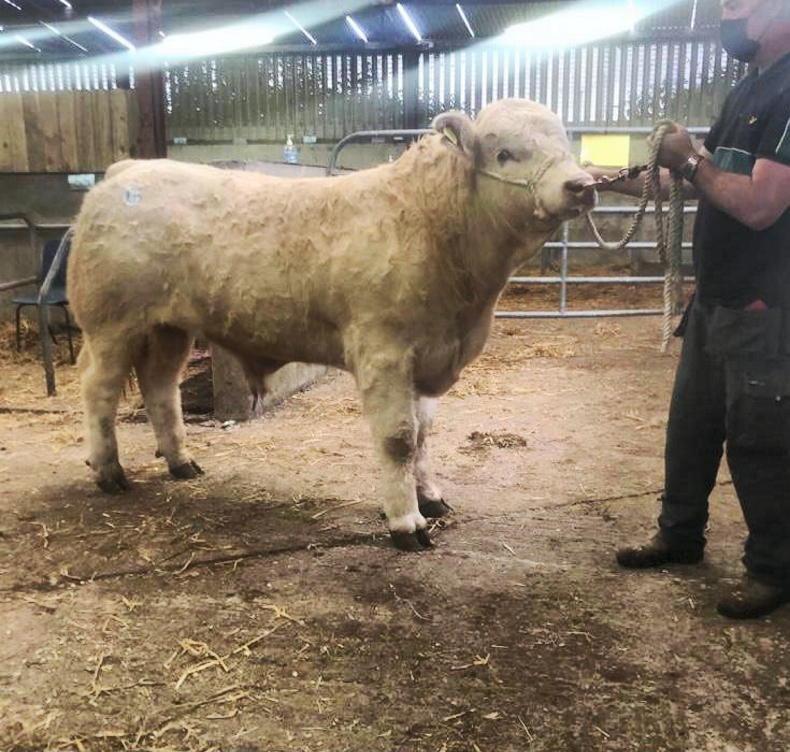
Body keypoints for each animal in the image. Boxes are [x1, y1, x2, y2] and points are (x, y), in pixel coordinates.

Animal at [67, 98, 596, 551]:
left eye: (564, 146)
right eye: (506, 154)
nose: (581, 185)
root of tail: (127, 169)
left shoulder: (429, 354)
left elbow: (423, 436)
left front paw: (430, 498)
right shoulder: (384, 352)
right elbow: (399, 440)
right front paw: (406, 522)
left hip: (168, 328)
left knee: (160, 389)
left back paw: (181, 463)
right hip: (111, 325)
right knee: (99, 390)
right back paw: (109, 472)